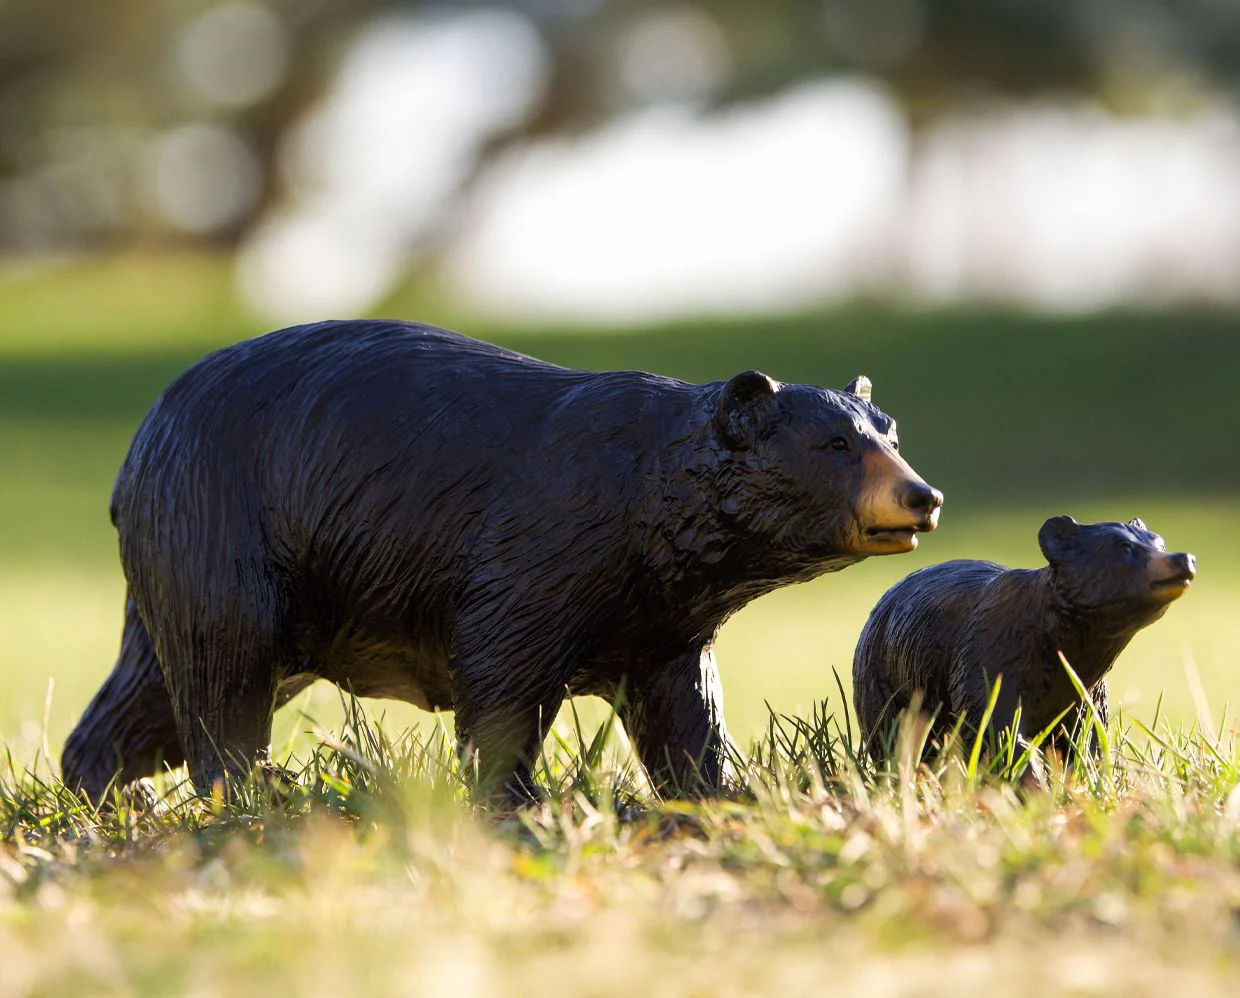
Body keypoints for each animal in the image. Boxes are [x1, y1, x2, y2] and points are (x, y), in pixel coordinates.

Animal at [61, 319, 943, 803]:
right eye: (833, 445)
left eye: (890, 432)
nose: (922, 496)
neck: (648, 507)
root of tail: (136, 450)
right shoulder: (546, 538)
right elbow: (503, 671)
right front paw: (515, 799)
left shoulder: (659, 612)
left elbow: (681, 701)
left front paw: (716, 788)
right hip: (220, 524)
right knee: (222, 664)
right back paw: (249, 787)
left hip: (196, 552)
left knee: (153, 682)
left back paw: (107, 790)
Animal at [852, 515, 1195, 773]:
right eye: (1123, 547)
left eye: (1159, 541)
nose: (1183, 558)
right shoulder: (989, 662)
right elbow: (998, 734)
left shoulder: (1087, 693)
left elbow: (1086, 741)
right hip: (887, 683)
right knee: (894, 738)